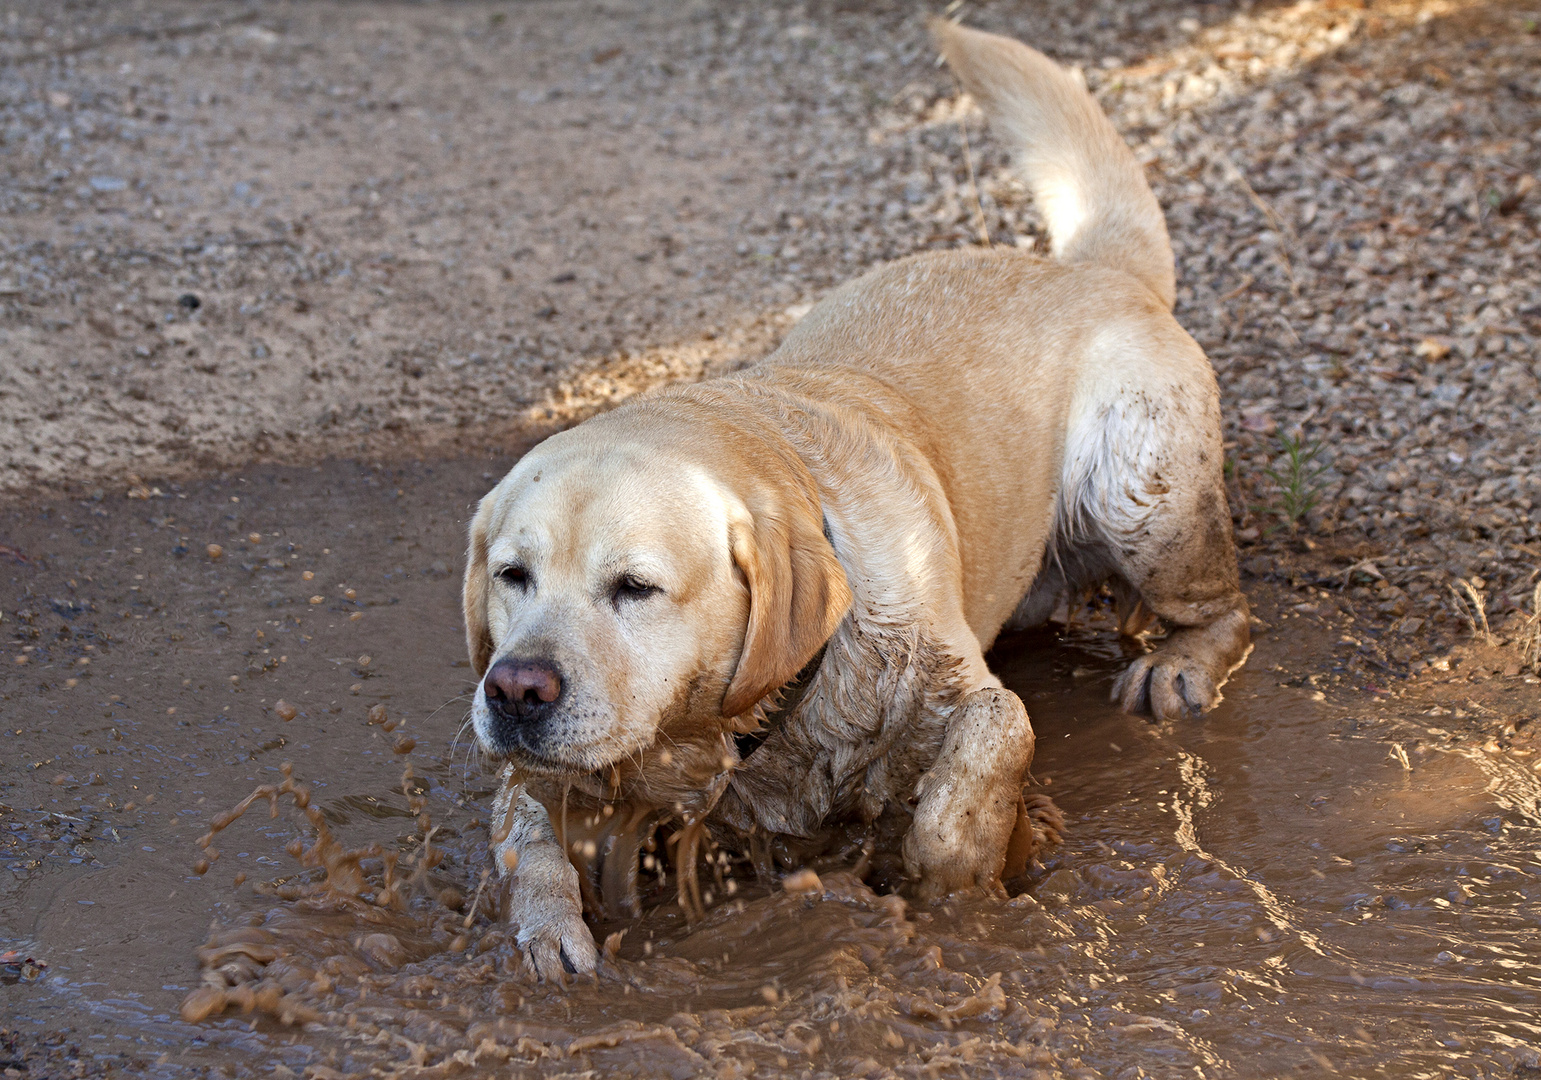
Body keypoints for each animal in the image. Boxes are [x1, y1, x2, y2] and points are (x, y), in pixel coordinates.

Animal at [459, 18, 1251, 979]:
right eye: (512, 576)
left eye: (635, 588)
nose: (515, 690)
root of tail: (1086, 269)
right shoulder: (558, 771)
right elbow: (523, 826)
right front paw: (548, 935)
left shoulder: (960, 686)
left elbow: (986, 748)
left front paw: (953, 870)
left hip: (1144, 497)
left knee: (1225, 607)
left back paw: (1179, 664)